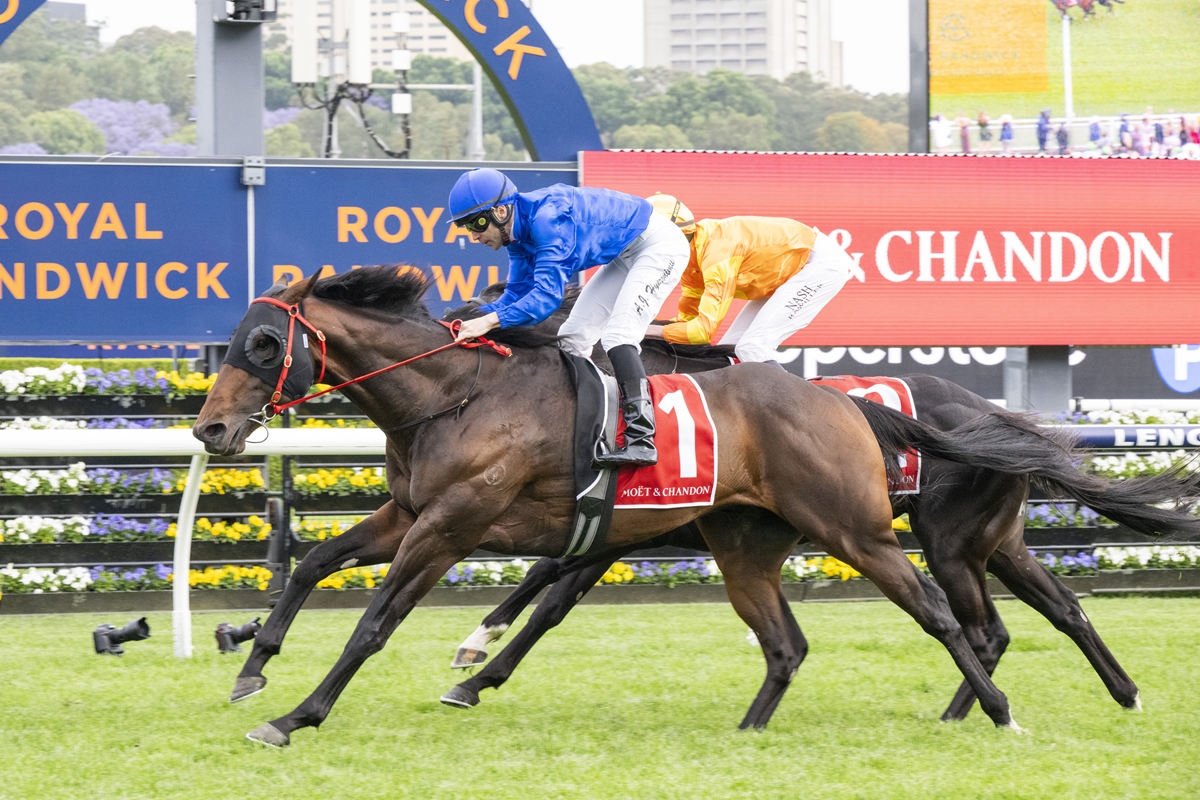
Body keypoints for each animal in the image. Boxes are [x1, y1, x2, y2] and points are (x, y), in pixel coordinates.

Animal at [195, 266, 1029, 746]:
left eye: (265, 344)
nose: (211, 429)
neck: (456, 396)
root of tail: (842, 403)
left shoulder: (455, 525)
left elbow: (379, 622)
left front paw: (297, 715)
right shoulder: (411, 514)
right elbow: (315, 563)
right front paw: (252, 660)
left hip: (862, 530)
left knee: (943, 615)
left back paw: (998, 711)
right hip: (750, 544)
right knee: (787, 642)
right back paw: (749, 732)